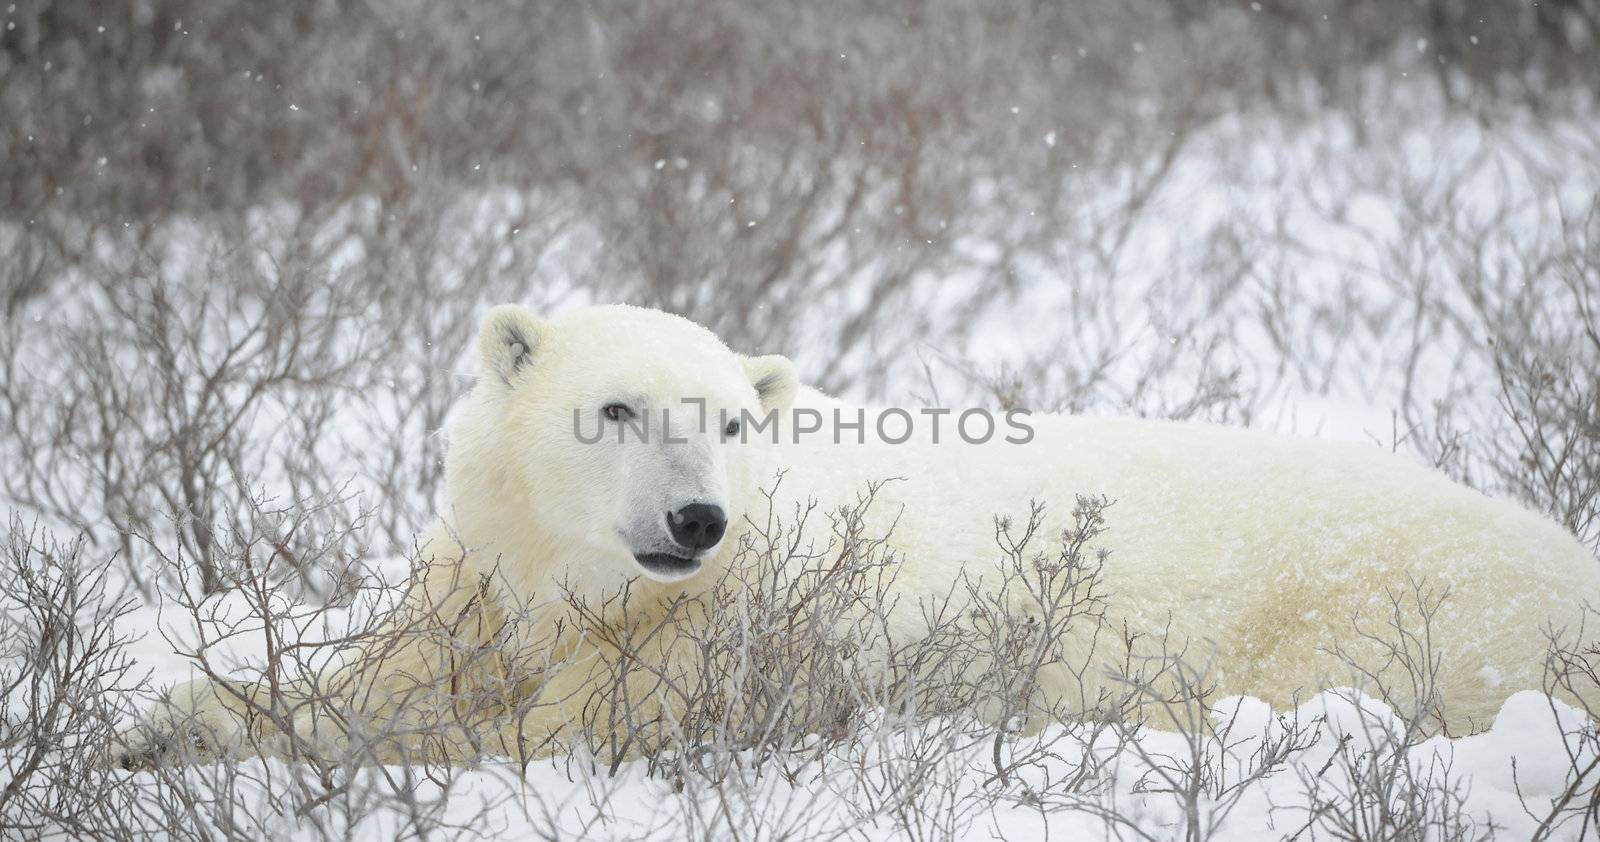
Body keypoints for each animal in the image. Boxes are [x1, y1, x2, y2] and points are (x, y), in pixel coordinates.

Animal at [118, 305, 1600, 771]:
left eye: (728, 420)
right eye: (616, 407)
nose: (697, 516)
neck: (585, 579)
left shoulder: (726, 629)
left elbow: (559, 730)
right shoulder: (479, 578)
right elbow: (386, 669)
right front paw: (165, 720)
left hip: (1391, 612)